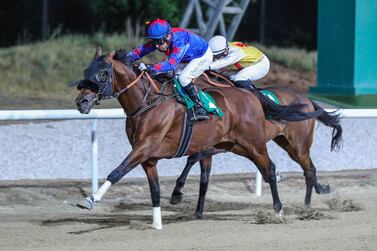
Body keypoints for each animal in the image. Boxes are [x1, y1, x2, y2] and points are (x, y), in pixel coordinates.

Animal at [169, 83, 342, 219]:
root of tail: (306, 99)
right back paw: (313, 196)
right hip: (286, 143)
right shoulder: (222, 145)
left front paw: (178, 192)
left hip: (297, 145)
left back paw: (308, 202)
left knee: (308, 169)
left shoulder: (226, 144)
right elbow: (202, 176)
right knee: (307, 169)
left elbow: (194, 159)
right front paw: (196, 210)